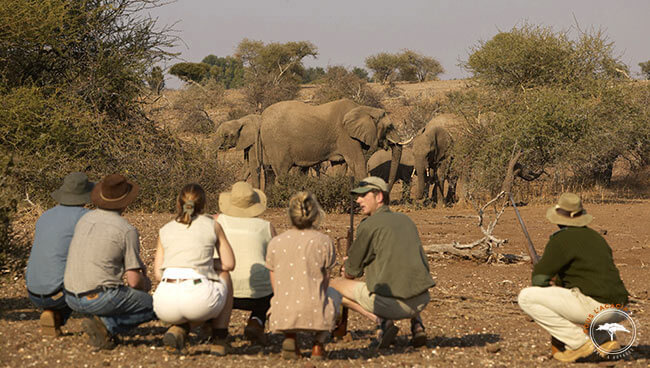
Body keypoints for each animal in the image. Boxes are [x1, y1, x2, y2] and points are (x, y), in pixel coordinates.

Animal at [258, 99, 410, 194]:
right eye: (389, 127)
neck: (363, 108)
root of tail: (262, 117)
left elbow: (340, 166)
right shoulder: (346, 136)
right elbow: (357, 163)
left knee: (269, 170)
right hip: (276, 143)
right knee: (281, 171)